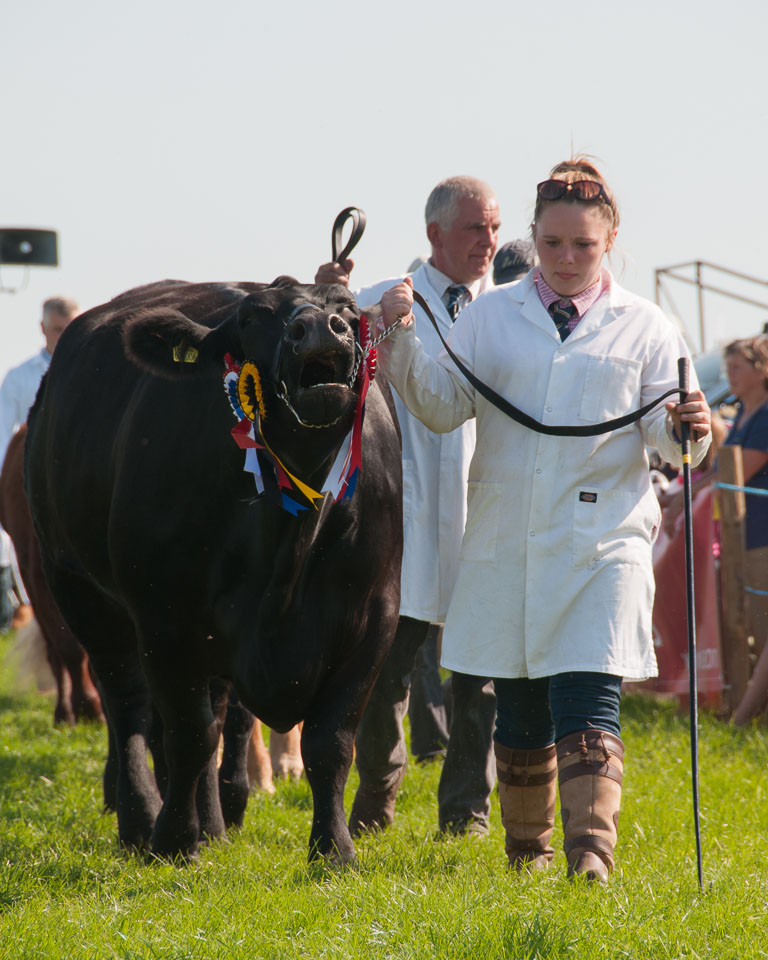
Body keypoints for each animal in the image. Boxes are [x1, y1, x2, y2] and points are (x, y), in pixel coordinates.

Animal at [25, 276, 402, 864]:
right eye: (252, 319)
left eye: (346, 308)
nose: (320, 326)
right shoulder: (165, 615)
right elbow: (188, 736)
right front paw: (176, 842)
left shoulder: (372, 618)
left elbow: (330, 741)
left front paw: (333, 851)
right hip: (79, 589)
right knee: (130, 709)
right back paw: (141, 821)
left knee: (216, 715)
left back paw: (217, 823)